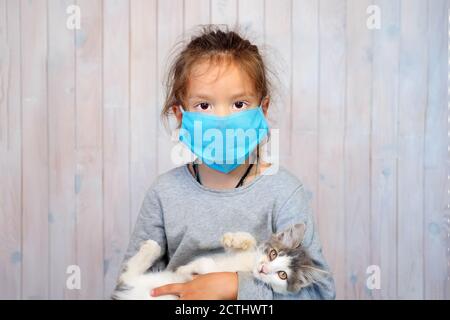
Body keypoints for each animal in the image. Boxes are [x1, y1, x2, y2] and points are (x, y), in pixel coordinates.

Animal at [111, 222, 330, 300]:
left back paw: (151, 249)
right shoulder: (243, 255)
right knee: (127, 275)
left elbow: (207, 267)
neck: (247, 266)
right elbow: (249, 241)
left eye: (282, 275)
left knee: (127, 275)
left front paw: (190, 268)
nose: (263, 268)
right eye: (273, 254)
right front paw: (234, 239)